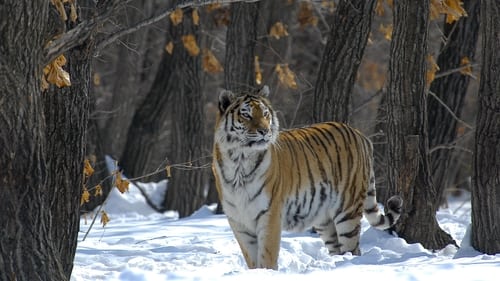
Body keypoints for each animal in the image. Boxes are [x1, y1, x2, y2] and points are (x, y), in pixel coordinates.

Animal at [211, 86, 402, 270]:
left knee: (353, 249)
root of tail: (360, 135)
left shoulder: (269, 215)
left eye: (265, 114)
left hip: (348, 210)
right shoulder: (239, 221)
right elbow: (252, 260)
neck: (239, 161)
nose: (264, 131)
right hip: (324, 219)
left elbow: (267, 257)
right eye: (246, 115)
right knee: (337, 248)